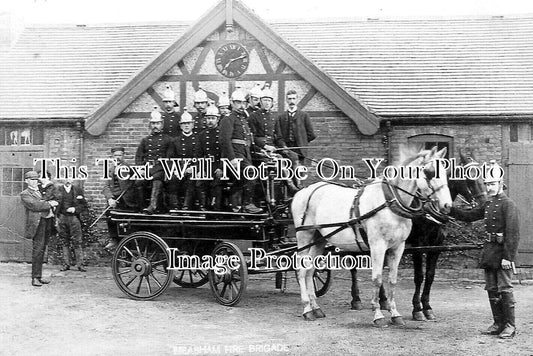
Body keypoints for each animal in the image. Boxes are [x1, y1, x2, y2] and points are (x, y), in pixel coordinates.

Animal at [294, 147, 450, 326]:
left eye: (446, 171)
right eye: (429, 172)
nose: (447, 205)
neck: (390, 203)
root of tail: (303, 191)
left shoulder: (399, 247)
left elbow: (392, 280)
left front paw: (395, 313)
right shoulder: (378, 245)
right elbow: (377, 278)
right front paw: (378, 314)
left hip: (319, 239)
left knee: (310, 271)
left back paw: (316, 308)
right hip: (304, 236)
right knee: (301, 270)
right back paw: (307, 309)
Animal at [350, 153, 486, 320]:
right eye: (470, 177)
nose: (484, 202)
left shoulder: (437, 246)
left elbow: (430, 276)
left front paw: (427, 307)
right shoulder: (418, 245)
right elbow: (419, 276)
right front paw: (417, 309)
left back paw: (383, 301)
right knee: (354, 267)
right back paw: (356, 299)